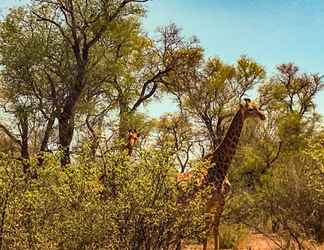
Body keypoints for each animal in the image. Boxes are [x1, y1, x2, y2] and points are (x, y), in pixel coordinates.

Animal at [177, 98, 266, 250]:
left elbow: (212, 228)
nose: (263, 116)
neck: (223, 166)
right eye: (250, 109)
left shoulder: (216, 203)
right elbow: (211, 229)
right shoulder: (215, 201)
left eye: (257, 106)